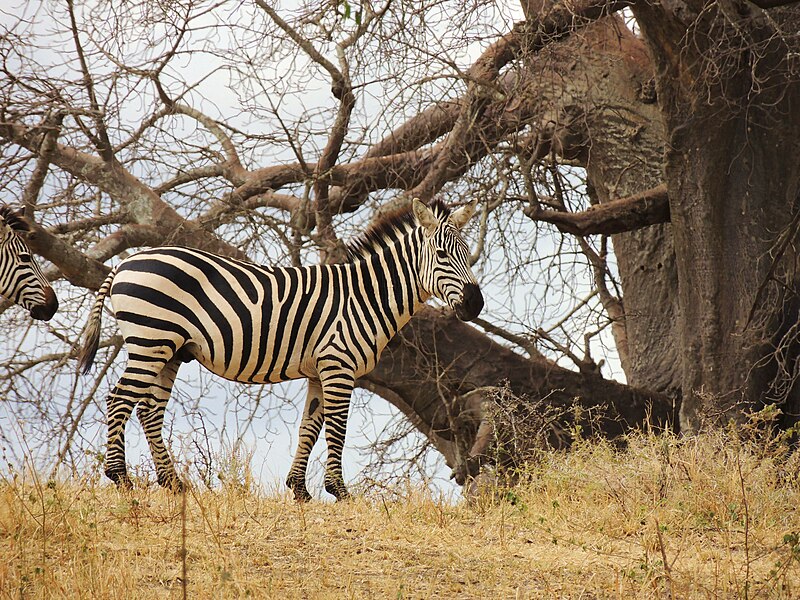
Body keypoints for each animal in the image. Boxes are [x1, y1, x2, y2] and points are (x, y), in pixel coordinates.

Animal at [79, 198, 482, 502]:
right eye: (442, 254)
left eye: (467, 253)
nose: (475, 305)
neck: (365, 297)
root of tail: (124, 263)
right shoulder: (339, 365)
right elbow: (337, 429)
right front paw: (340, 492)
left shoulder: (320, 370)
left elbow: (310, 428)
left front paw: (299, 490)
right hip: (150, 341)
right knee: (119, 400)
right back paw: (121, 478)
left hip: (169, 350)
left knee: (148, 410)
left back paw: (173, 484)